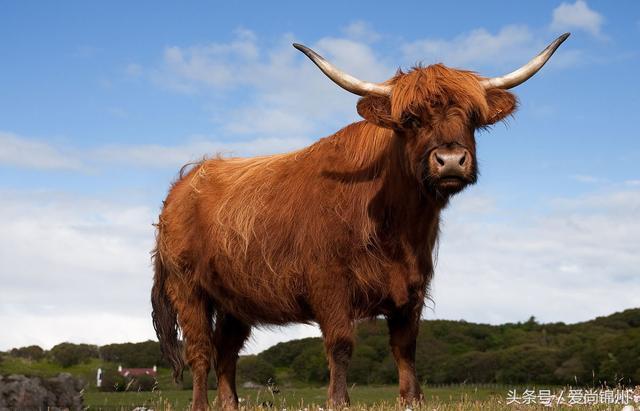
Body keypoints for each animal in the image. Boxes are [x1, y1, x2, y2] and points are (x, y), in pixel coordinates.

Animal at [151, 33, 568, 411]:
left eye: (472, 118)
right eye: (410, 119)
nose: (450, 161)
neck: (399, 225)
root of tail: (183, 185)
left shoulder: (413, 286)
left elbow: (405, 346)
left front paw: (412, 398)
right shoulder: (329, 283)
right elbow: (340, 343)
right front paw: (338, 400)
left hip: (236, 300)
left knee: (226, 351)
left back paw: (230, 404)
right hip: (189, 289)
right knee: (201, 350)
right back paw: (201, 405)